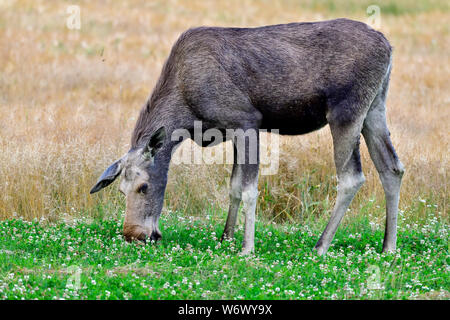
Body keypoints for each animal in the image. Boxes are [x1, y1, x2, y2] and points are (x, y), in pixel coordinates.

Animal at [90, 18, 404, 256]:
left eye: (143, 187)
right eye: (120, 190)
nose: (133, 234)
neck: (186, 112)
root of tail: (388, 47)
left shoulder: (247, 122)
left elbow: (250, 189)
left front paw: (246, 247)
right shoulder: (231, 130)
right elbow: (233, 186)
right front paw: (226, 237)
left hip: (345, 111)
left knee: (352, 177)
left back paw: (321, 244)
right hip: (374, 108)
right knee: (392, 168)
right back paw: (388, 246)